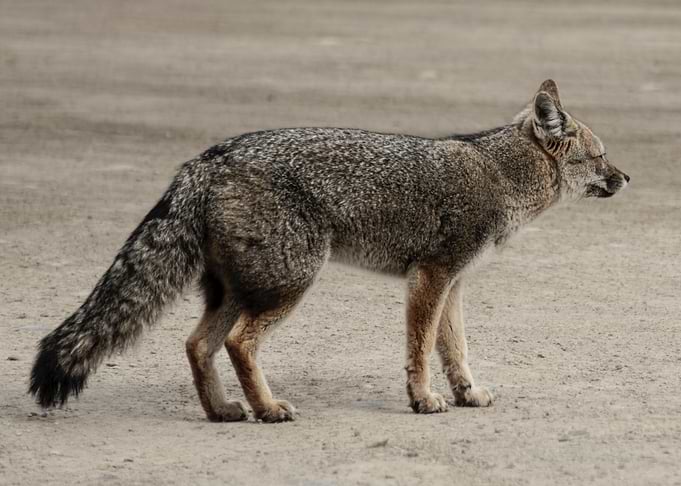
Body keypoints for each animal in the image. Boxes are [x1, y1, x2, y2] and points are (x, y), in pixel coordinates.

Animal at [29, 80, 629, 422]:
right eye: (601, 156)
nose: (627, 177)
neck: (501, 173)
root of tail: (206, 158)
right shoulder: (430, 277)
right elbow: (420, 350)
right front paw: (423, 400)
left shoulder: (453, 283)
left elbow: (454, 349)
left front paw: (467, 393)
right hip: (290, 284)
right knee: (239, 344)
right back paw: (268, 409)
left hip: (244, 289)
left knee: (198, 345)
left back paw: (224, 411)